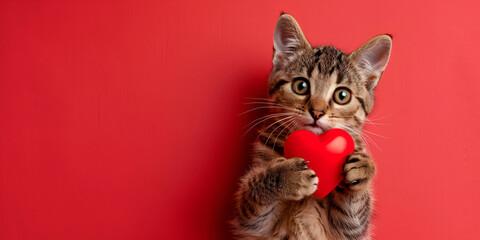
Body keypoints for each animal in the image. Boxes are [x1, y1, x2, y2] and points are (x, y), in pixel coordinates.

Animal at [231, 13, 392, 240]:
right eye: (301, 86)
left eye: (342, 95)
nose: (317, 111)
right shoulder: (252, 222)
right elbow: (255, 189)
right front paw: (287, 175)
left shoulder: (350, 230)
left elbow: (353, 217)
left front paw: (363, 168)